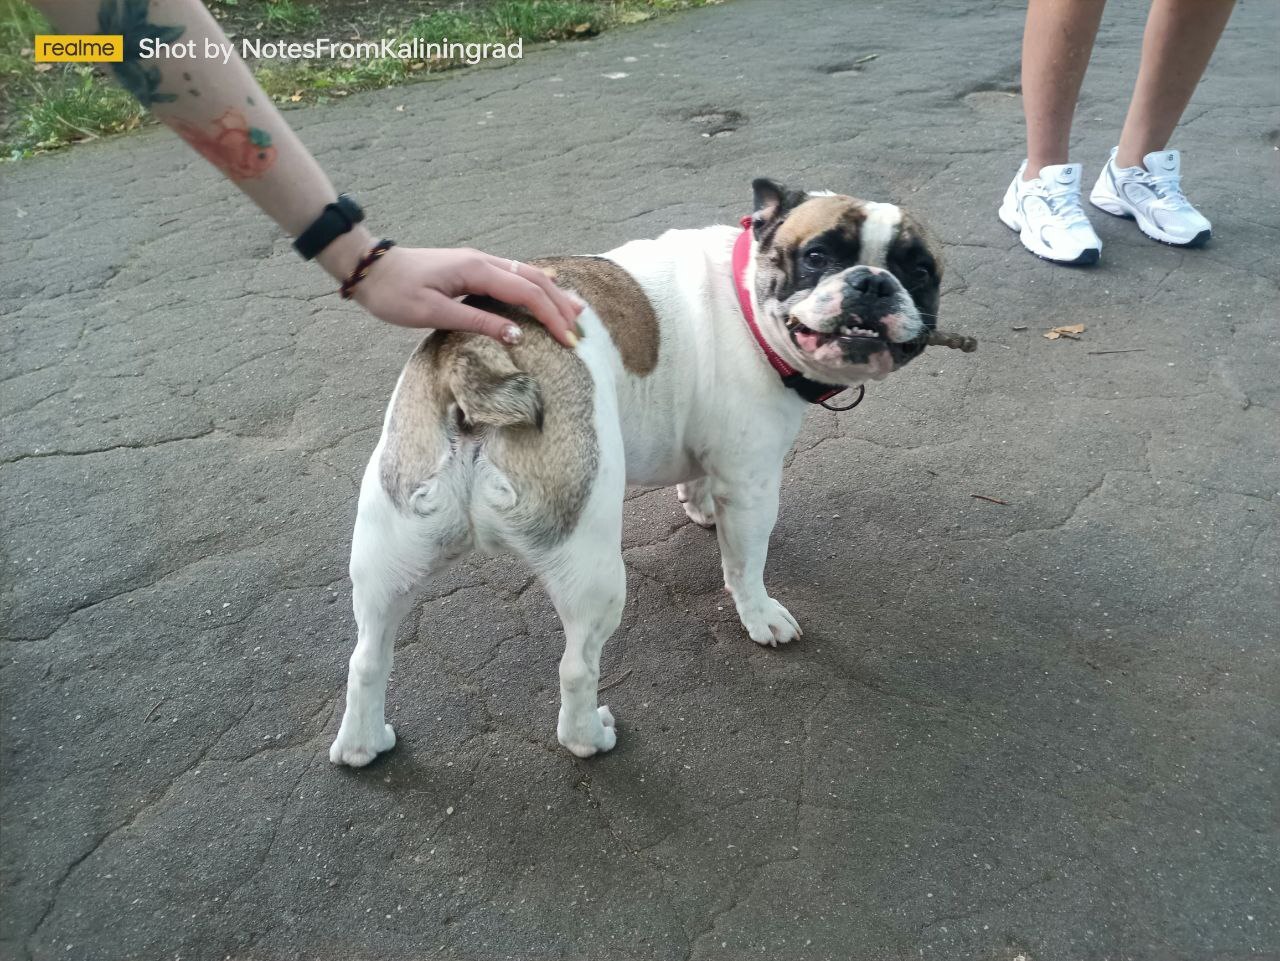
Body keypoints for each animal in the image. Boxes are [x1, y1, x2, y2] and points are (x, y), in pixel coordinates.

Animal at [330, 180, 947, 767]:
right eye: (817, 256)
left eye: (919, 271)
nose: (872, 283)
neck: (745, 292)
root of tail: (476, 357)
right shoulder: (752, 486)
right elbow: (746, 565)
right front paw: (760, 614)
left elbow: (699, 480)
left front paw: (698, 506)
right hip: (594, 570)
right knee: (576, 668)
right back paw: (590, 738)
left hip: (389, 551)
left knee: (367, 658)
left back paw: (363, 745)